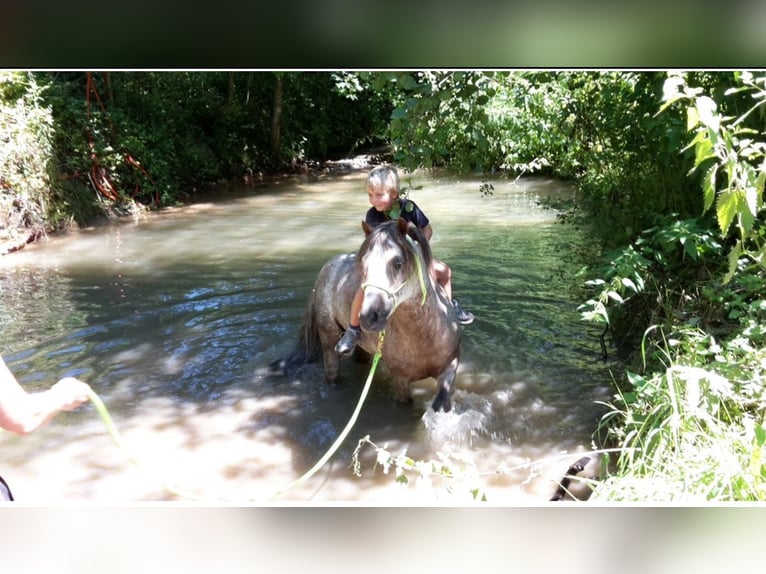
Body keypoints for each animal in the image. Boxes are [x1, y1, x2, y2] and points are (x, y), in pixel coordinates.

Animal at [280, 218, 464, 412]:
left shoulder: (450, 365)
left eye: (398, 263)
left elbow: (441, 401)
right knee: (332, 370)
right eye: (364, 264)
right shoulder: (400, 380)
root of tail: (329, 265)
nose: (369, 317)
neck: (424, 336)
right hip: (329, 340)